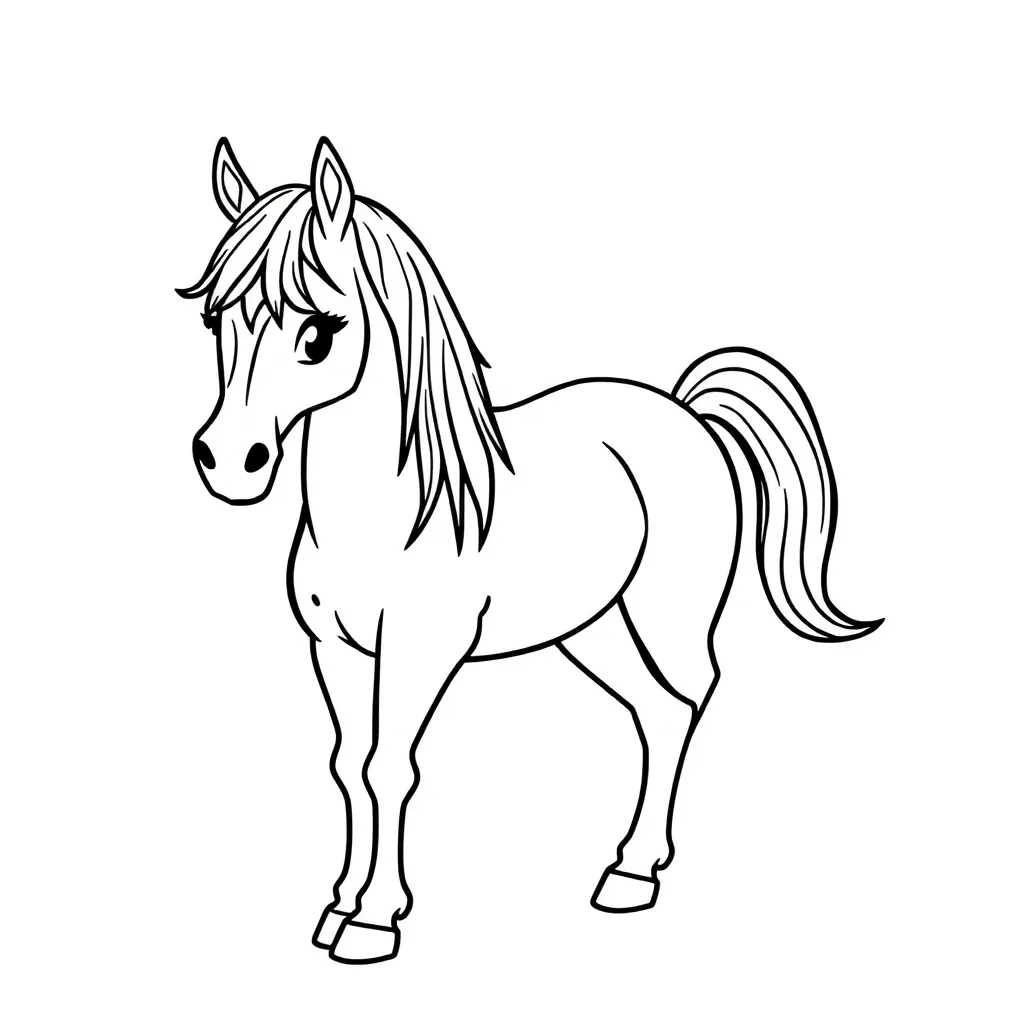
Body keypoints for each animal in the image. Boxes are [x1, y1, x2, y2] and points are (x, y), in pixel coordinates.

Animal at [178, 137, 881, 964]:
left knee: (693, 694)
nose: (229, 460)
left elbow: (390, 768)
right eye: (216, 322)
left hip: (666, 620)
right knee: (658, 709)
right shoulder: (336, 648)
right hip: (592, 629)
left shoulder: (419, 651)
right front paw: (337, 906)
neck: (389, 509)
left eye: (318, 333)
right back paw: (625, 871)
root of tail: (686, 414)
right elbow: (349, 767)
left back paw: (638, 872)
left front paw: (374, 921)